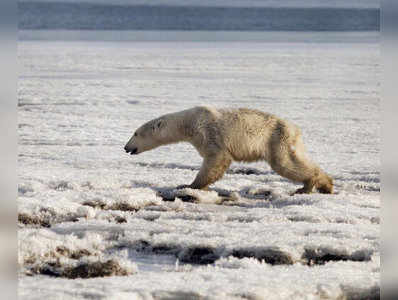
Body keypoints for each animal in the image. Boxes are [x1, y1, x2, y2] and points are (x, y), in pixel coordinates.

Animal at [123, 106, 332, 193]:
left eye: (135, 133)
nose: (126, 147)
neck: (188, 123)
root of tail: (295, 129)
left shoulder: (208, 132)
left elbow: (216, 159)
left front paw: (188, 185)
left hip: (275, 138)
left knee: (285, 163)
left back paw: (309, 186)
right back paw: (323, 184)